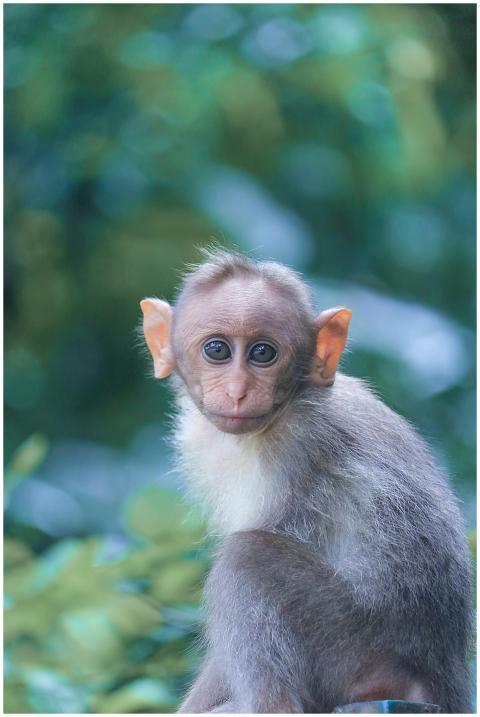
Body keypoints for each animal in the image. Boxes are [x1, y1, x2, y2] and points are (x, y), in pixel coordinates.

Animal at [140, 248, 472, 714]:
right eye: (217, 350)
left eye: (263, 353)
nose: (238, 391)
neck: (291, 402)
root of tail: (444, 677)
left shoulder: (298, 450)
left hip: (354, 649)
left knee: (247, 556)